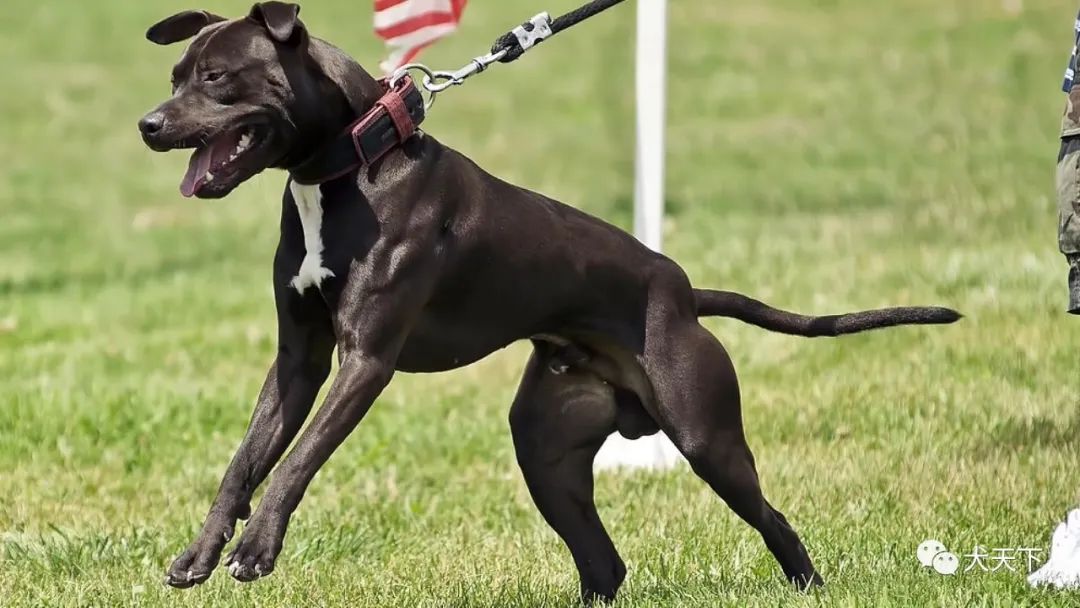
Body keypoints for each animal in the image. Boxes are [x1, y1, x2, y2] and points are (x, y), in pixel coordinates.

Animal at [137, 3, 963, 604]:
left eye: (217, 76)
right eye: (174, 75)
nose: (149, 123)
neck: (349, 164)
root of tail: (683, 291)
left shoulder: (365, 362)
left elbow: (295, 461)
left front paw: (256, 549)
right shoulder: (298, 362)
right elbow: (245, 462)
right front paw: (201, 551)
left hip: (706, 438)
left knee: (773, 519)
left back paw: (807, 582)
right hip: (547, 452)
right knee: (603, 565)